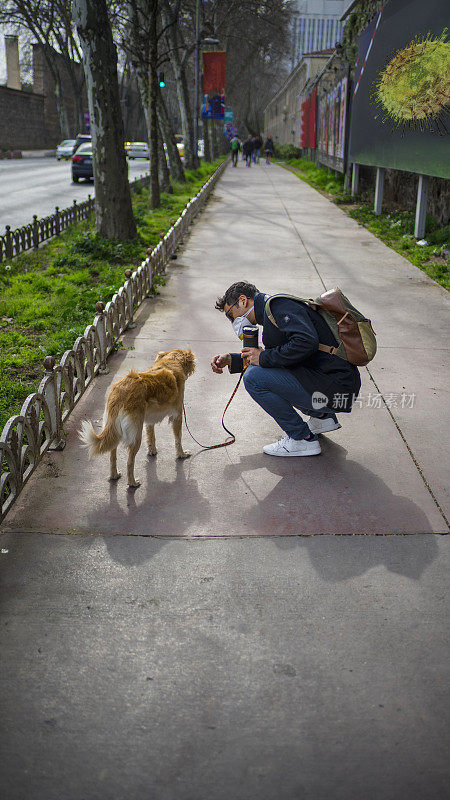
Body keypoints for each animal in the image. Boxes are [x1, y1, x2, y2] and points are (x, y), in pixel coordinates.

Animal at [79, 346, 195, 484]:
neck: (170, 361)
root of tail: (119, 394)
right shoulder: (177, 416)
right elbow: (178, 439)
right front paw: (181, 454)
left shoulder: (149, 421)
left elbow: (151, 437)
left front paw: (152, 451)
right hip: (136, 435)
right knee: (129, 462)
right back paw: (132, 482)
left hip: (116, 430)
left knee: (112, 456)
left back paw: (114, 475)